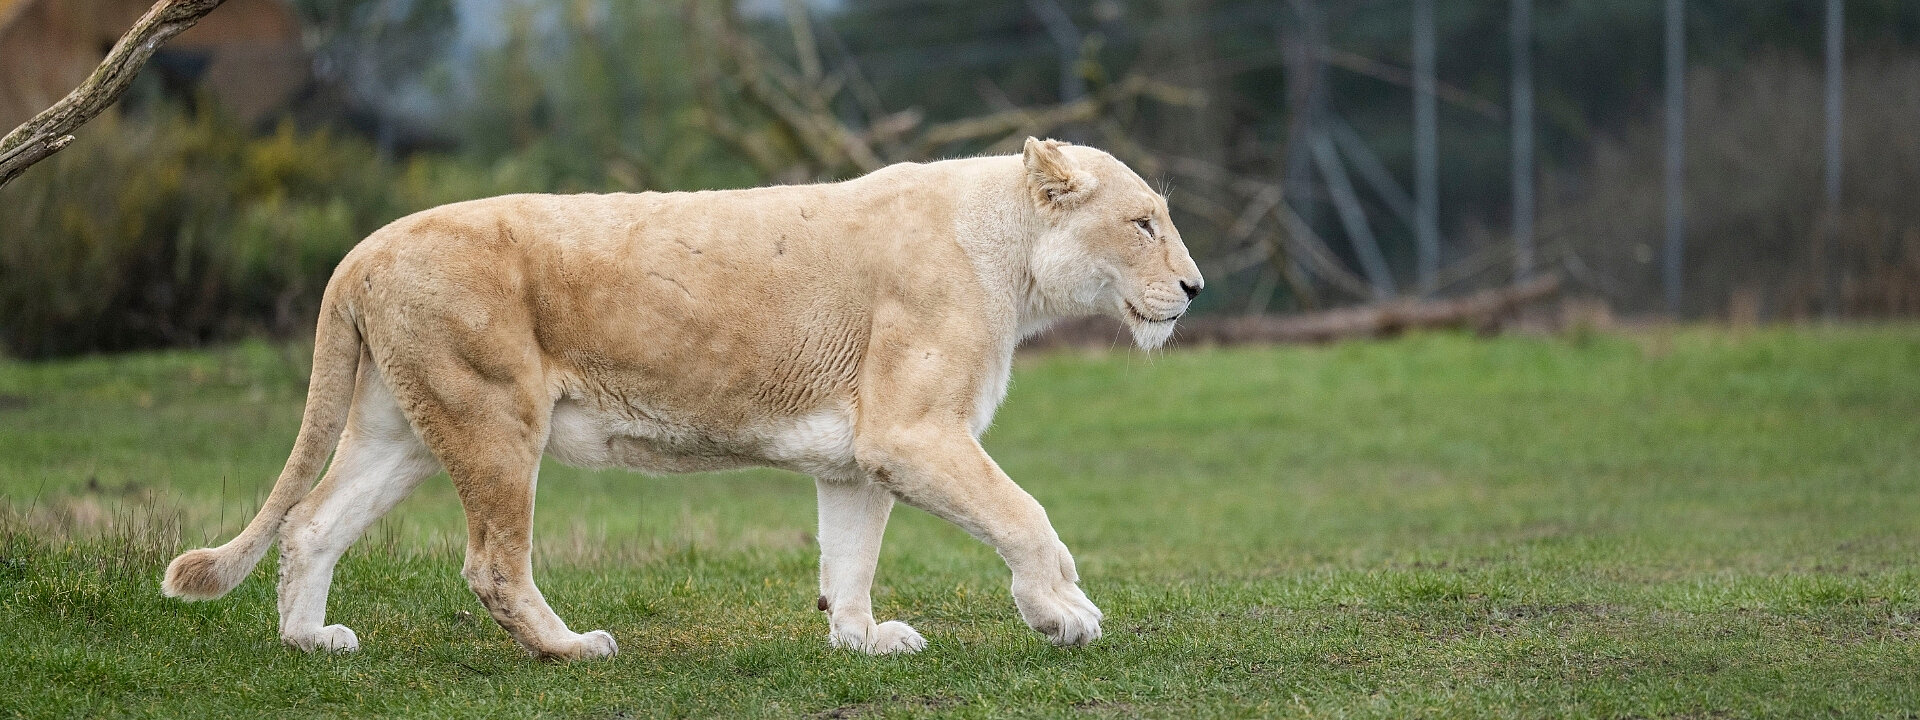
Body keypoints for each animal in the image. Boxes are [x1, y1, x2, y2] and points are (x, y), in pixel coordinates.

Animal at [160, 138, 1203, 659]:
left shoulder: (860, 454)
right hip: (494, 416)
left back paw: (311, 640)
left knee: (311, 524)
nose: (1195, 291)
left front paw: (862, 640)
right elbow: (1026, 515)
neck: (1013, 256)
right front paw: (1064, 614)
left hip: (402, 427)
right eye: (1144, 223)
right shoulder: (912, 432)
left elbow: (851, 556)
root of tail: (361, 250)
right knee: (491, 564)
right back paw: (572, 648)